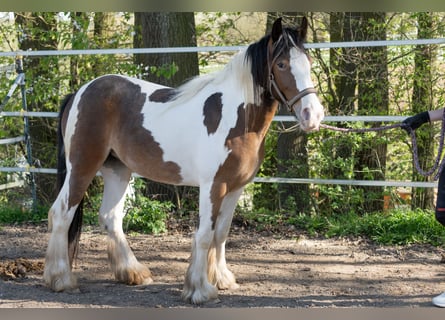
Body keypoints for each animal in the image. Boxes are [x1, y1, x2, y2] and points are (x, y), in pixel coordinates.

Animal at [42, 16, 322, 302]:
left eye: (309, 62)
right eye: (281, 64)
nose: (313, 115)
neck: (235, 119)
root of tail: (79, 93)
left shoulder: (236, 187)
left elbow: (221, 233)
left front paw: (222, 279)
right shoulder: (213, 186)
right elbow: (205, 234)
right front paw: (200, 289)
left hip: (117, 170)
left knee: (110, 218)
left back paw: (133, 272)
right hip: (82, 166)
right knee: (61, 213)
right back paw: (61, 279)